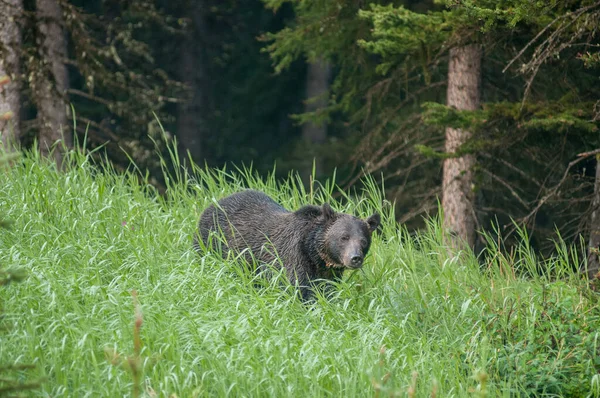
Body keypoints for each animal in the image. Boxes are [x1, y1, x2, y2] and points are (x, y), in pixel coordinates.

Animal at [193, 190, 380, 298]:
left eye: (363, 241)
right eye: (344, 237)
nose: (355, 258)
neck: (314, 253)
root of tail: (213, 204)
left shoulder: (328, 273)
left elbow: (327, 290)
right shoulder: (292, 258)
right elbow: (298, 289)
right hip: (212, 242)